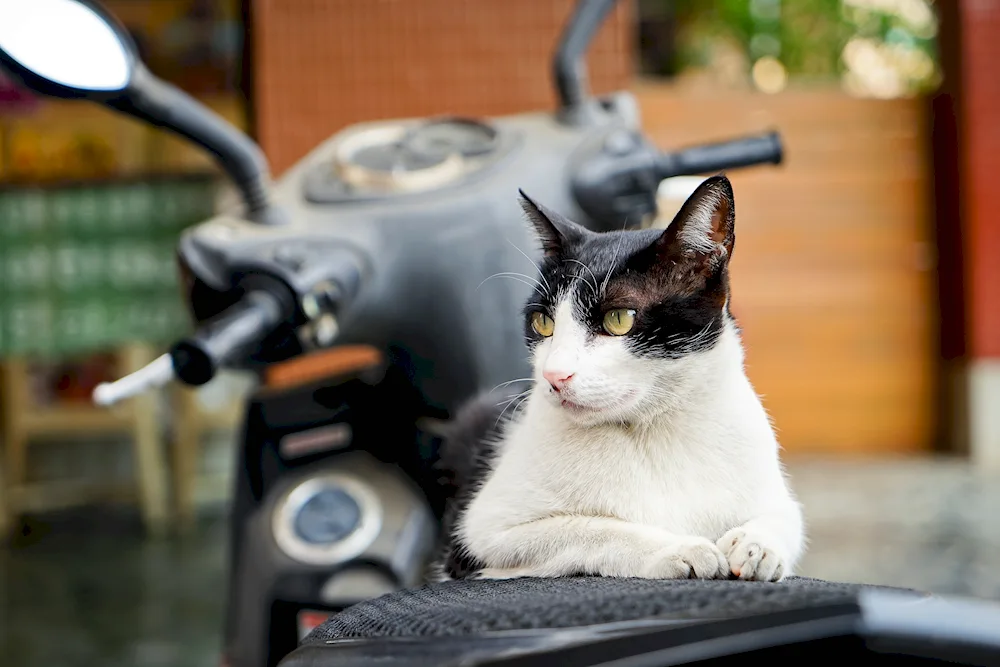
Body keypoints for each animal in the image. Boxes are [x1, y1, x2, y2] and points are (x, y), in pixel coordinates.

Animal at [430, 176, 804, 584]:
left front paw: (756, 545)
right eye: (542, 322)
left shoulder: (772, 492)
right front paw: (679, 548)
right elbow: (593, 528)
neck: (654, 432)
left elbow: (786, 516)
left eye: (619, 319)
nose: (553, 375)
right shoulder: (478, 537)